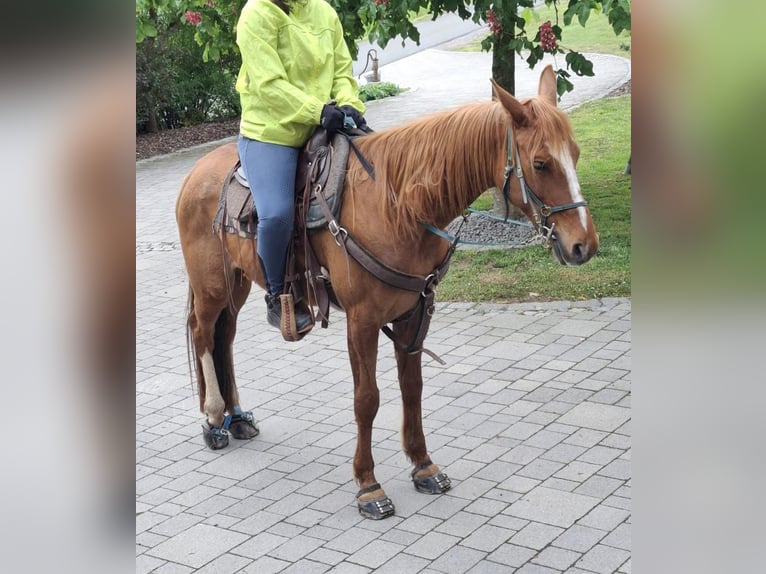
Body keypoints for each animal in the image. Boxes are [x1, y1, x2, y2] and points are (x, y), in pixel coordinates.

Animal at [175, 65, 598, 519]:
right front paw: (368, 485)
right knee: (204, 333)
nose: (584, 245)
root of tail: (195, 173)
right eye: (540, 163)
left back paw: (236, 418)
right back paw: (214, 419)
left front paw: (423, 465)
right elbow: (367, 399)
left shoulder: (415, 313)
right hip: (211, 287)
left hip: (234, 285)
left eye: (575, 154)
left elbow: (412, 388)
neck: (397, 207)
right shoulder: (362, 322)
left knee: (225, 339)